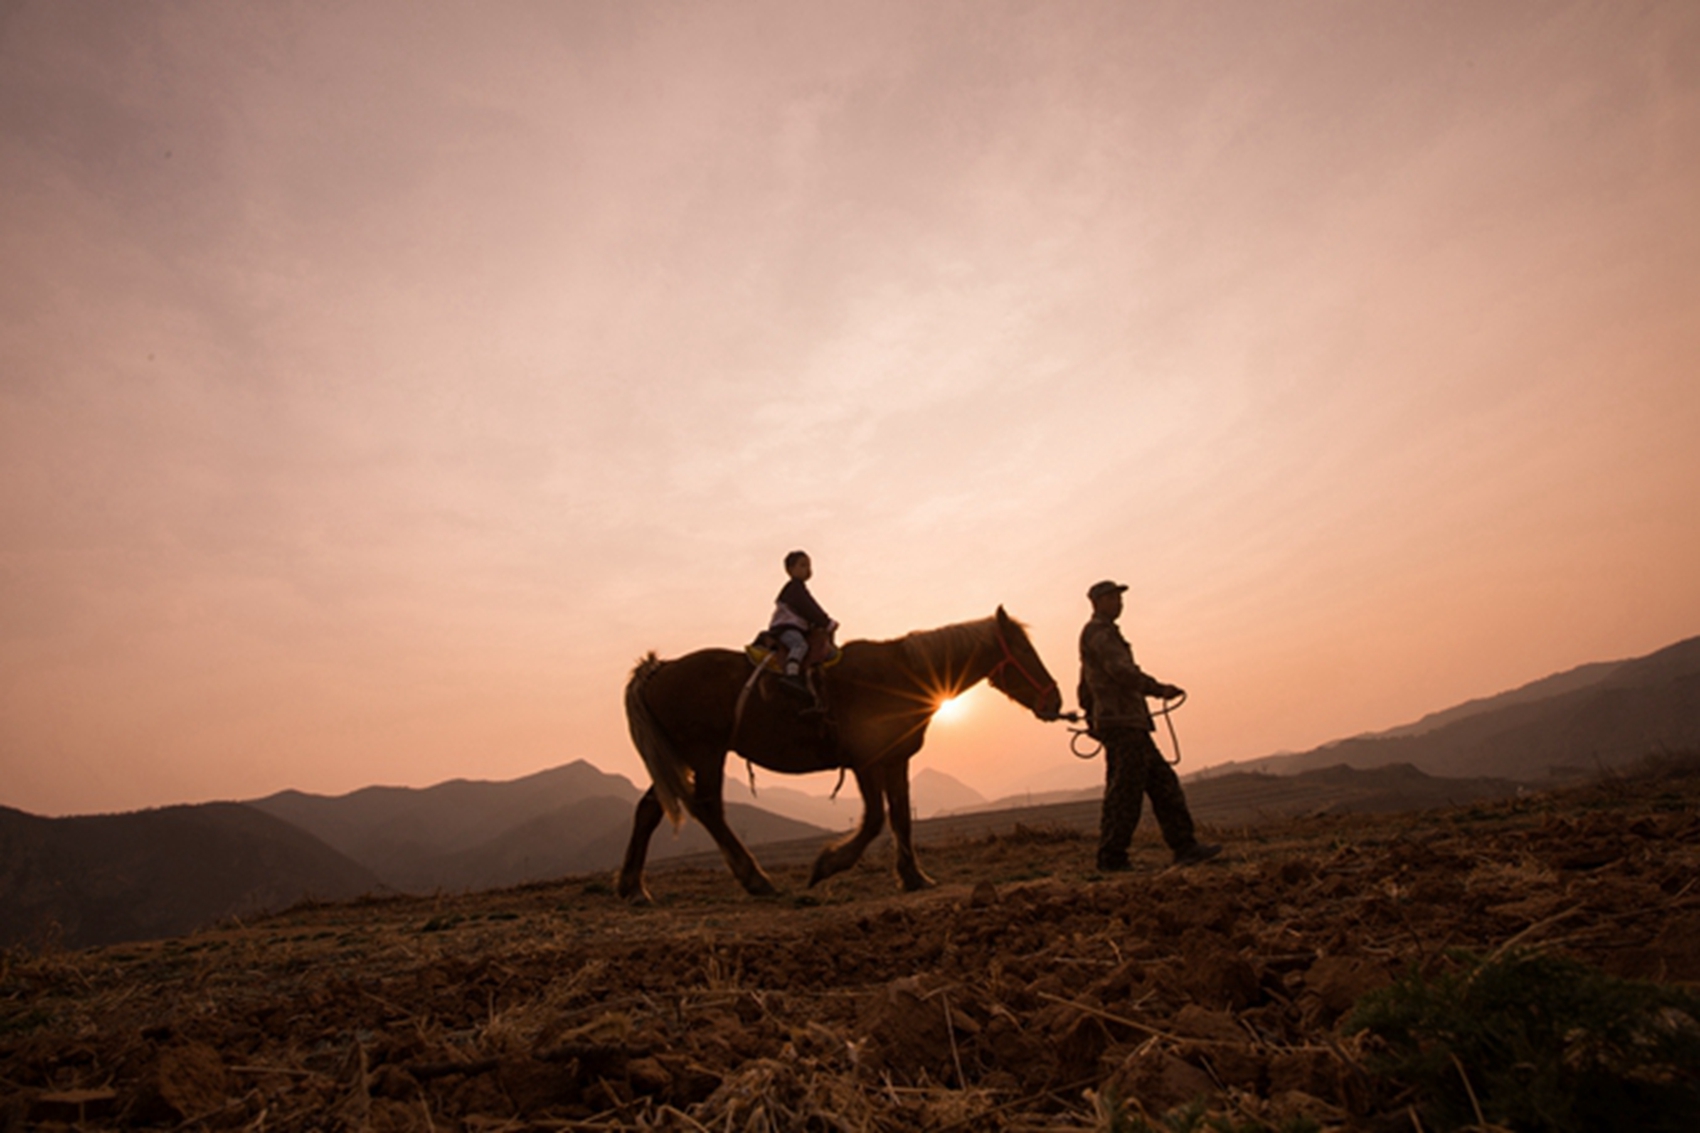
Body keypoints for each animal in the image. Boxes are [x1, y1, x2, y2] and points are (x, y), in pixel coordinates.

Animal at [612, 609, 1060, 898]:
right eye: (1023, 650)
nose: (1055, 699)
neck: (899, 676)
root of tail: (660, 668)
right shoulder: (865, 763)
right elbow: (876, 819)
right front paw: (827, 864)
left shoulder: (895, 760)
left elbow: (901, 817)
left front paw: (914, 876)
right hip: (705, 752)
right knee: (707, 807)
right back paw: (756, 879)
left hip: (682, 756)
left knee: (649, 808)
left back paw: (633, 886)